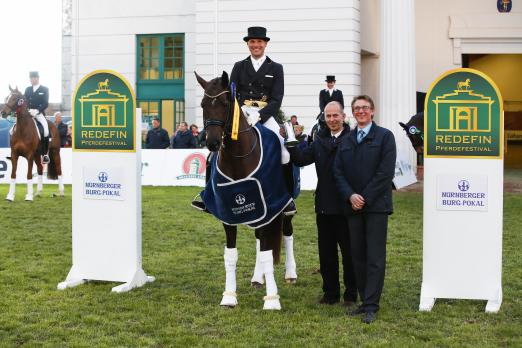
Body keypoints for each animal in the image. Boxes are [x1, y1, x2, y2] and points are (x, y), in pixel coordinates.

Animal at [194, 70, 294, 310]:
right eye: (203, 104)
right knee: (259, 239)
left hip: (283, 208)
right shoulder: (228, 214)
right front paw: (229, 296)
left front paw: (272, 300)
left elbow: (267, 254)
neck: (239, 158)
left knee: (287, 233)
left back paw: (290, 274)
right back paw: (258, 278)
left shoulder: (270, 208)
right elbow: (231, 255)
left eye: (224, 103)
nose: (212, 143)